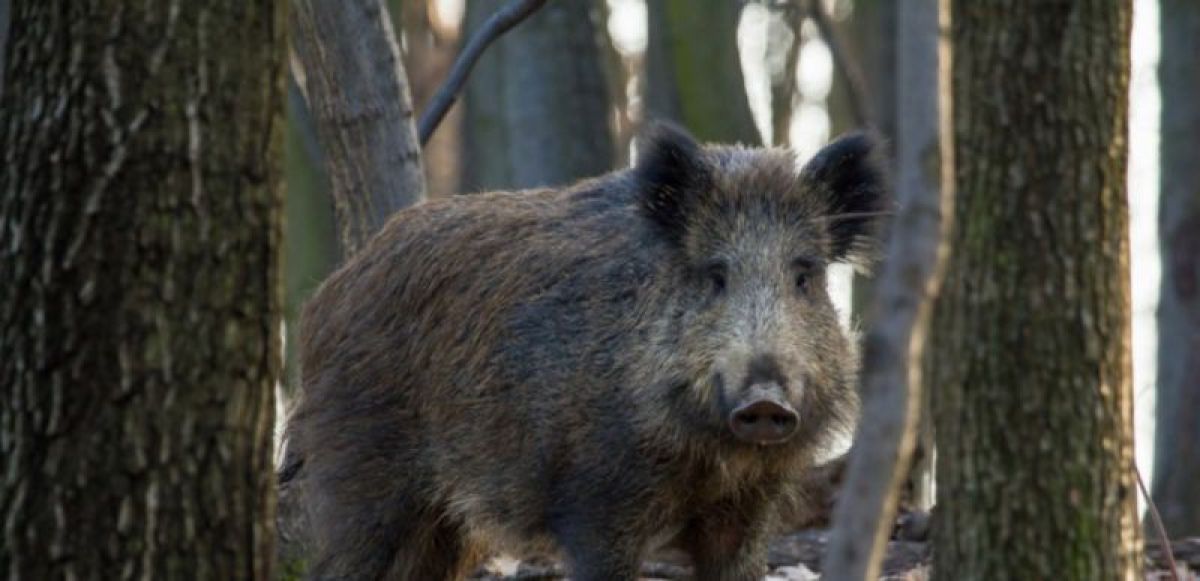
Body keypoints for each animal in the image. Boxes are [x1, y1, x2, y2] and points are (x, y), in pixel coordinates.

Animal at [282, 124, 889, 580]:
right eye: (714, 276)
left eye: (804, 276)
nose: (764, 401)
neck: (707, 457)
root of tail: (329, 292)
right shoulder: (596, 501)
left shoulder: (749, 510)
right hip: (361, 476)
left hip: (443, 524)